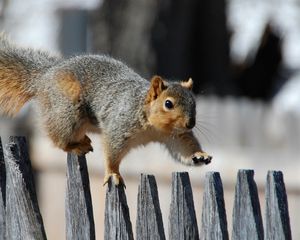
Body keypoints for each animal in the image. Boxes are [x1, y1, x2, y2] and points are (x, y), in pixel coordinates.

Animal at [0, 34, 212, 186]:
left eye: (194, 102)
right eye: (168, 104)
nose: (190, 123)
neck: (153, 126)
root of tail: (45, 75)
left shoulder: (175, 135)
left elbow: (183, 148)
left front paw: (199, 155)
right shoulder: (118, 127)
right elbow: (112, 152)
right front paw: (112, 174)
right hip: (68, 110)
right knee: (58, 138)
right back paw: (75, 145)